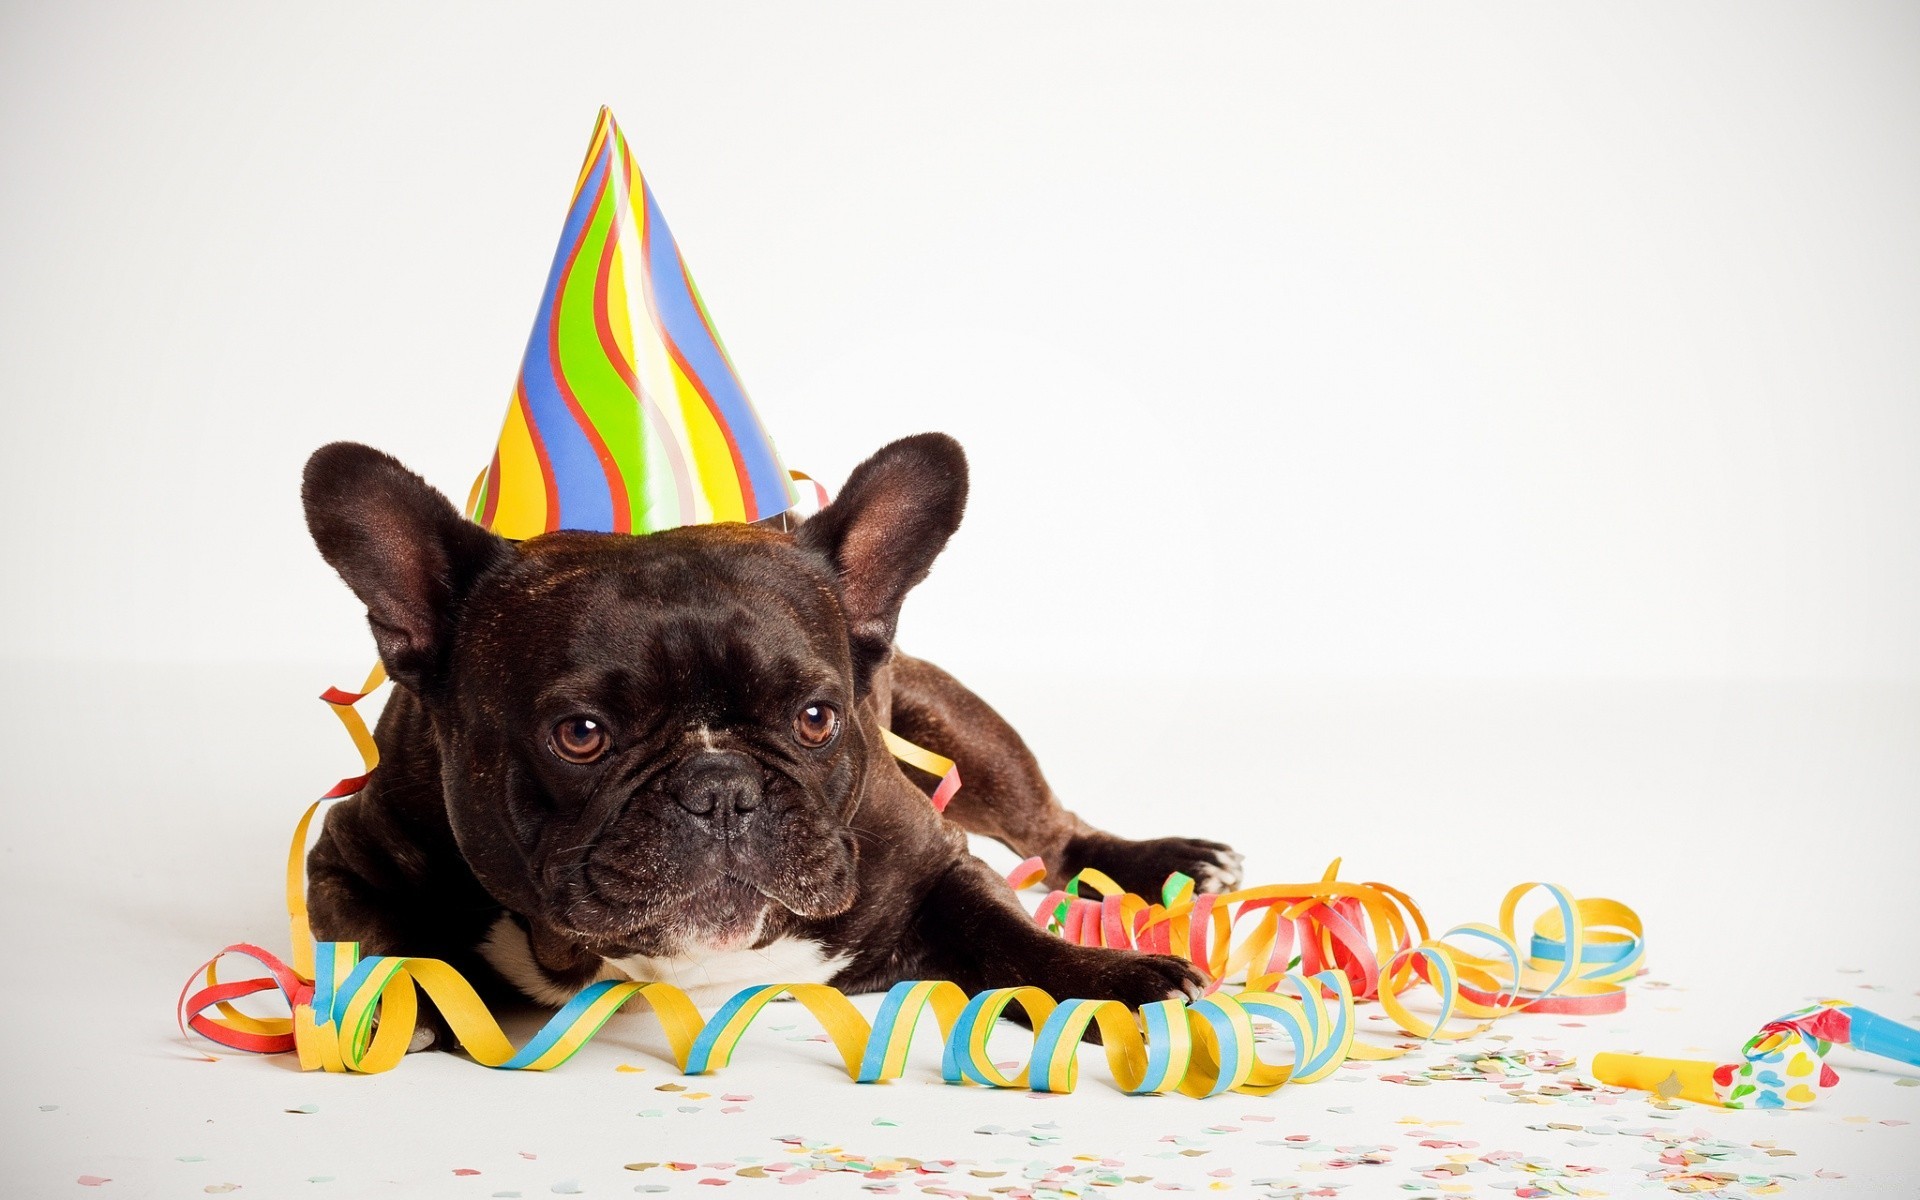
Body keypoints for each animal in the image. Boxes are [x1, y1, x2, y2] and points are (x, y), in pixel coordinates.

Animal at [303, 435, 1244, 1044]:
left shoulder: (932, 860)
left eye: (817, 718)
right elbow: (375, 942)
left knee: (1052, 833)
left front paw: (1113, 985)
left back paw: (1169, 861)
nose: (721, 787)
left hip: (966, 738)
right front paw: (408, 1007)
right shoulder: (344, 857)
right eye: (581, 735)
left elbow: (1009, 938)